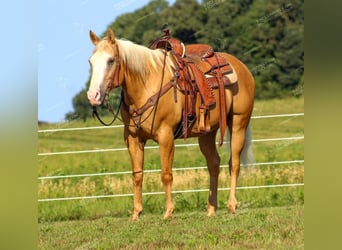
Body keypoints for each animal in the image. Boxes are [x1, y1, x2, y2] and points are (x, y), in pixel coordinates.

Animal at [87, 29, 254, 221]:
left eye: (110, 60)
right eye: (91, 62)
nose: (93, 95)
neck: (147, 85)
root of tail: (241, 67)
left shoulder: (165, 135)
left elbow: (166, 174)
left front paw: (168, 212)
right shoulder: (133, 138)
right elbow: (137, 175)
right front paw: (136, 213)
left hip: (238, 123)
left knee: (234, 163)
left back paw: (232, 205)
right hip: (207, 133)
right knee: (214, 164)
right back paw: (211, 209)